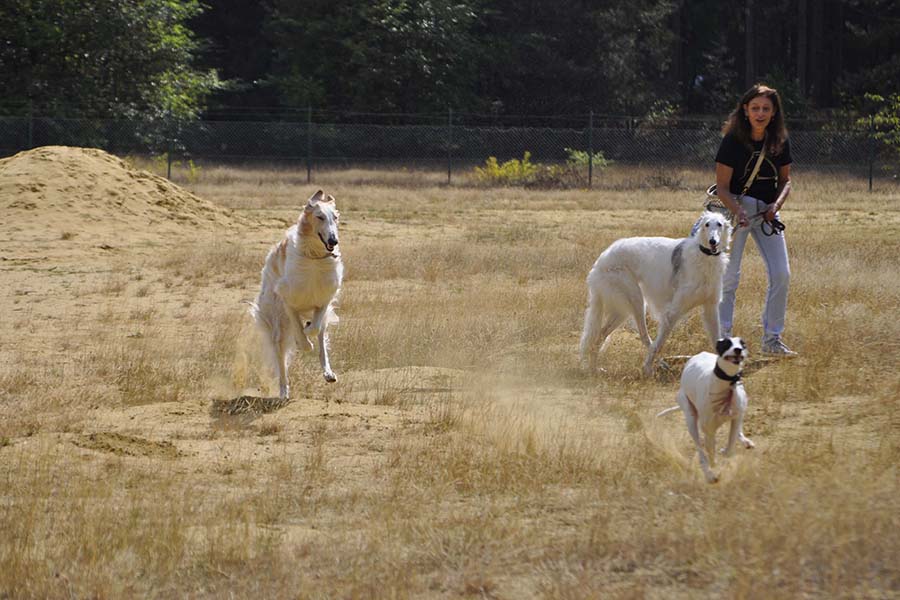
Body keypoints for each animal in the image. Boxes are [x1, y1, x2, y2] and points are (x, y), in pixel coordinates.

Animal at [249, 190, 343, 399]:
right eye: (319, 216)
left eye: (335, 217)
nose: (333, 241)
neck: (314, 259)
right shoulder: (288, 302)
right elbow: (300, 335)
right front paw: (304, 343)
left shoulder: (323, 300)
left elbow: (314, 329)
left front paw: (307, 330)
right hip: (276, 324)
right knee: (281, 361)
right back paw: (284, 391)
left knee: (321, 340)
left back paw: (328, 373)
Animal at [580, 211, 731, 377]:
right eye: (707, 224)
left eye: (719, 224)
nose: (713, 241)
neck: (704, 256)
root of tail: (602, 258)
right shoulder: (672, 312)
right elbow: (659, 344)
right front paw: (647, 368)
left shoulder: (711, 307)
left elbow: (717, 339)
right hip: (636, 299)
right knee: (644, 337)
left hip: (622, 309)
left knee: (599, 337)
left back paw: (595, 369)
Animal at [657, 337, 755, 483]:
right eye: (726, 343)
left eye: (743, 343)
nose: (738, 350)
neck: (725, 388)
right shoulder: (708, 430)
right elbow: (711, 454)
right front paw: (713, 471)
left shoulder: (736, 417)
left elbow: (730, 447)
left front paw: (726, 452)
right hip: (690, 417)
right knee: (700, 449)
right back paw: (708, 473)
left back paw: (744, 441)